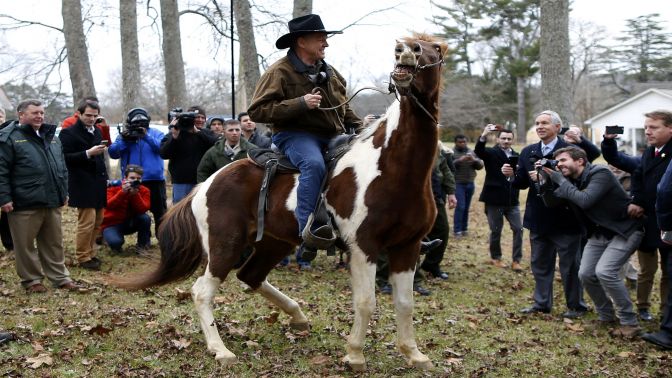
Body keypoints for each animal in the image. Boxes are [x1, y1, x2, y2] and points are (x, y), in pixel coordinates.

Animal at [119, 35, 448, 372]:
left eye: (436, 48)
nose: (405, 50)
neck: (394, 168)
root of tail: (204, 186)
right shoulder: (364, 246)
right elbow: (366, 301)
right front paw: (355, 354)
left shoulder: (407, 247)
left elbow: (405, 303)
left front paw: (414, 354)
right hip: (225, 245)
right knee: (202, 292)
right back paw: (221, 349)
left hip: (274, 242)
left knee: (250, 276)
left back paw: (298, 317)